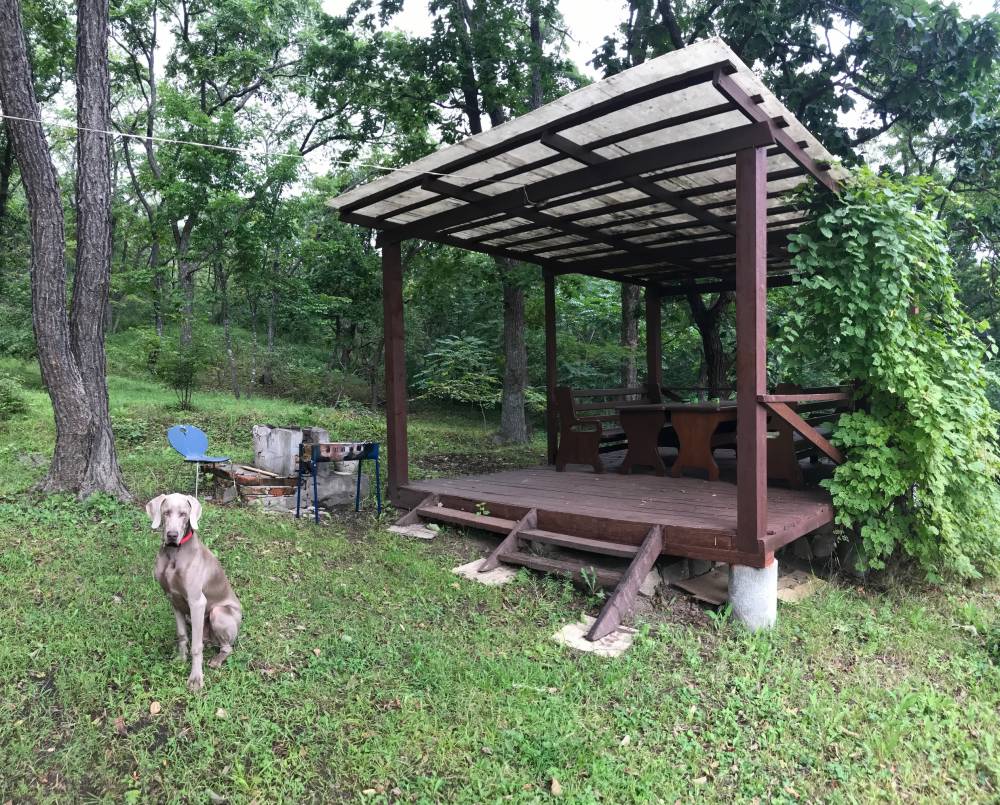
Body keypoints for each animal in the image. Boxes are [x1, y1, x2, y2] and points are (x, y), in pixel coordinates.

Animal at [145, 494, 242, 690]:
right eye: (166, 513)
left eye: (184, 514)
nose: (172, 535)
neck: (174, 554)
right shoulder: (173, 599)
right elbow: (182, 635)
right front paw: (181, 659)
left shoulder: (196, 602)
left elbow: (196, 647)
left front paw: (196, 679)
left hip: (218, 613)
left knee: (226, 647)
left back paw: (217, 660)